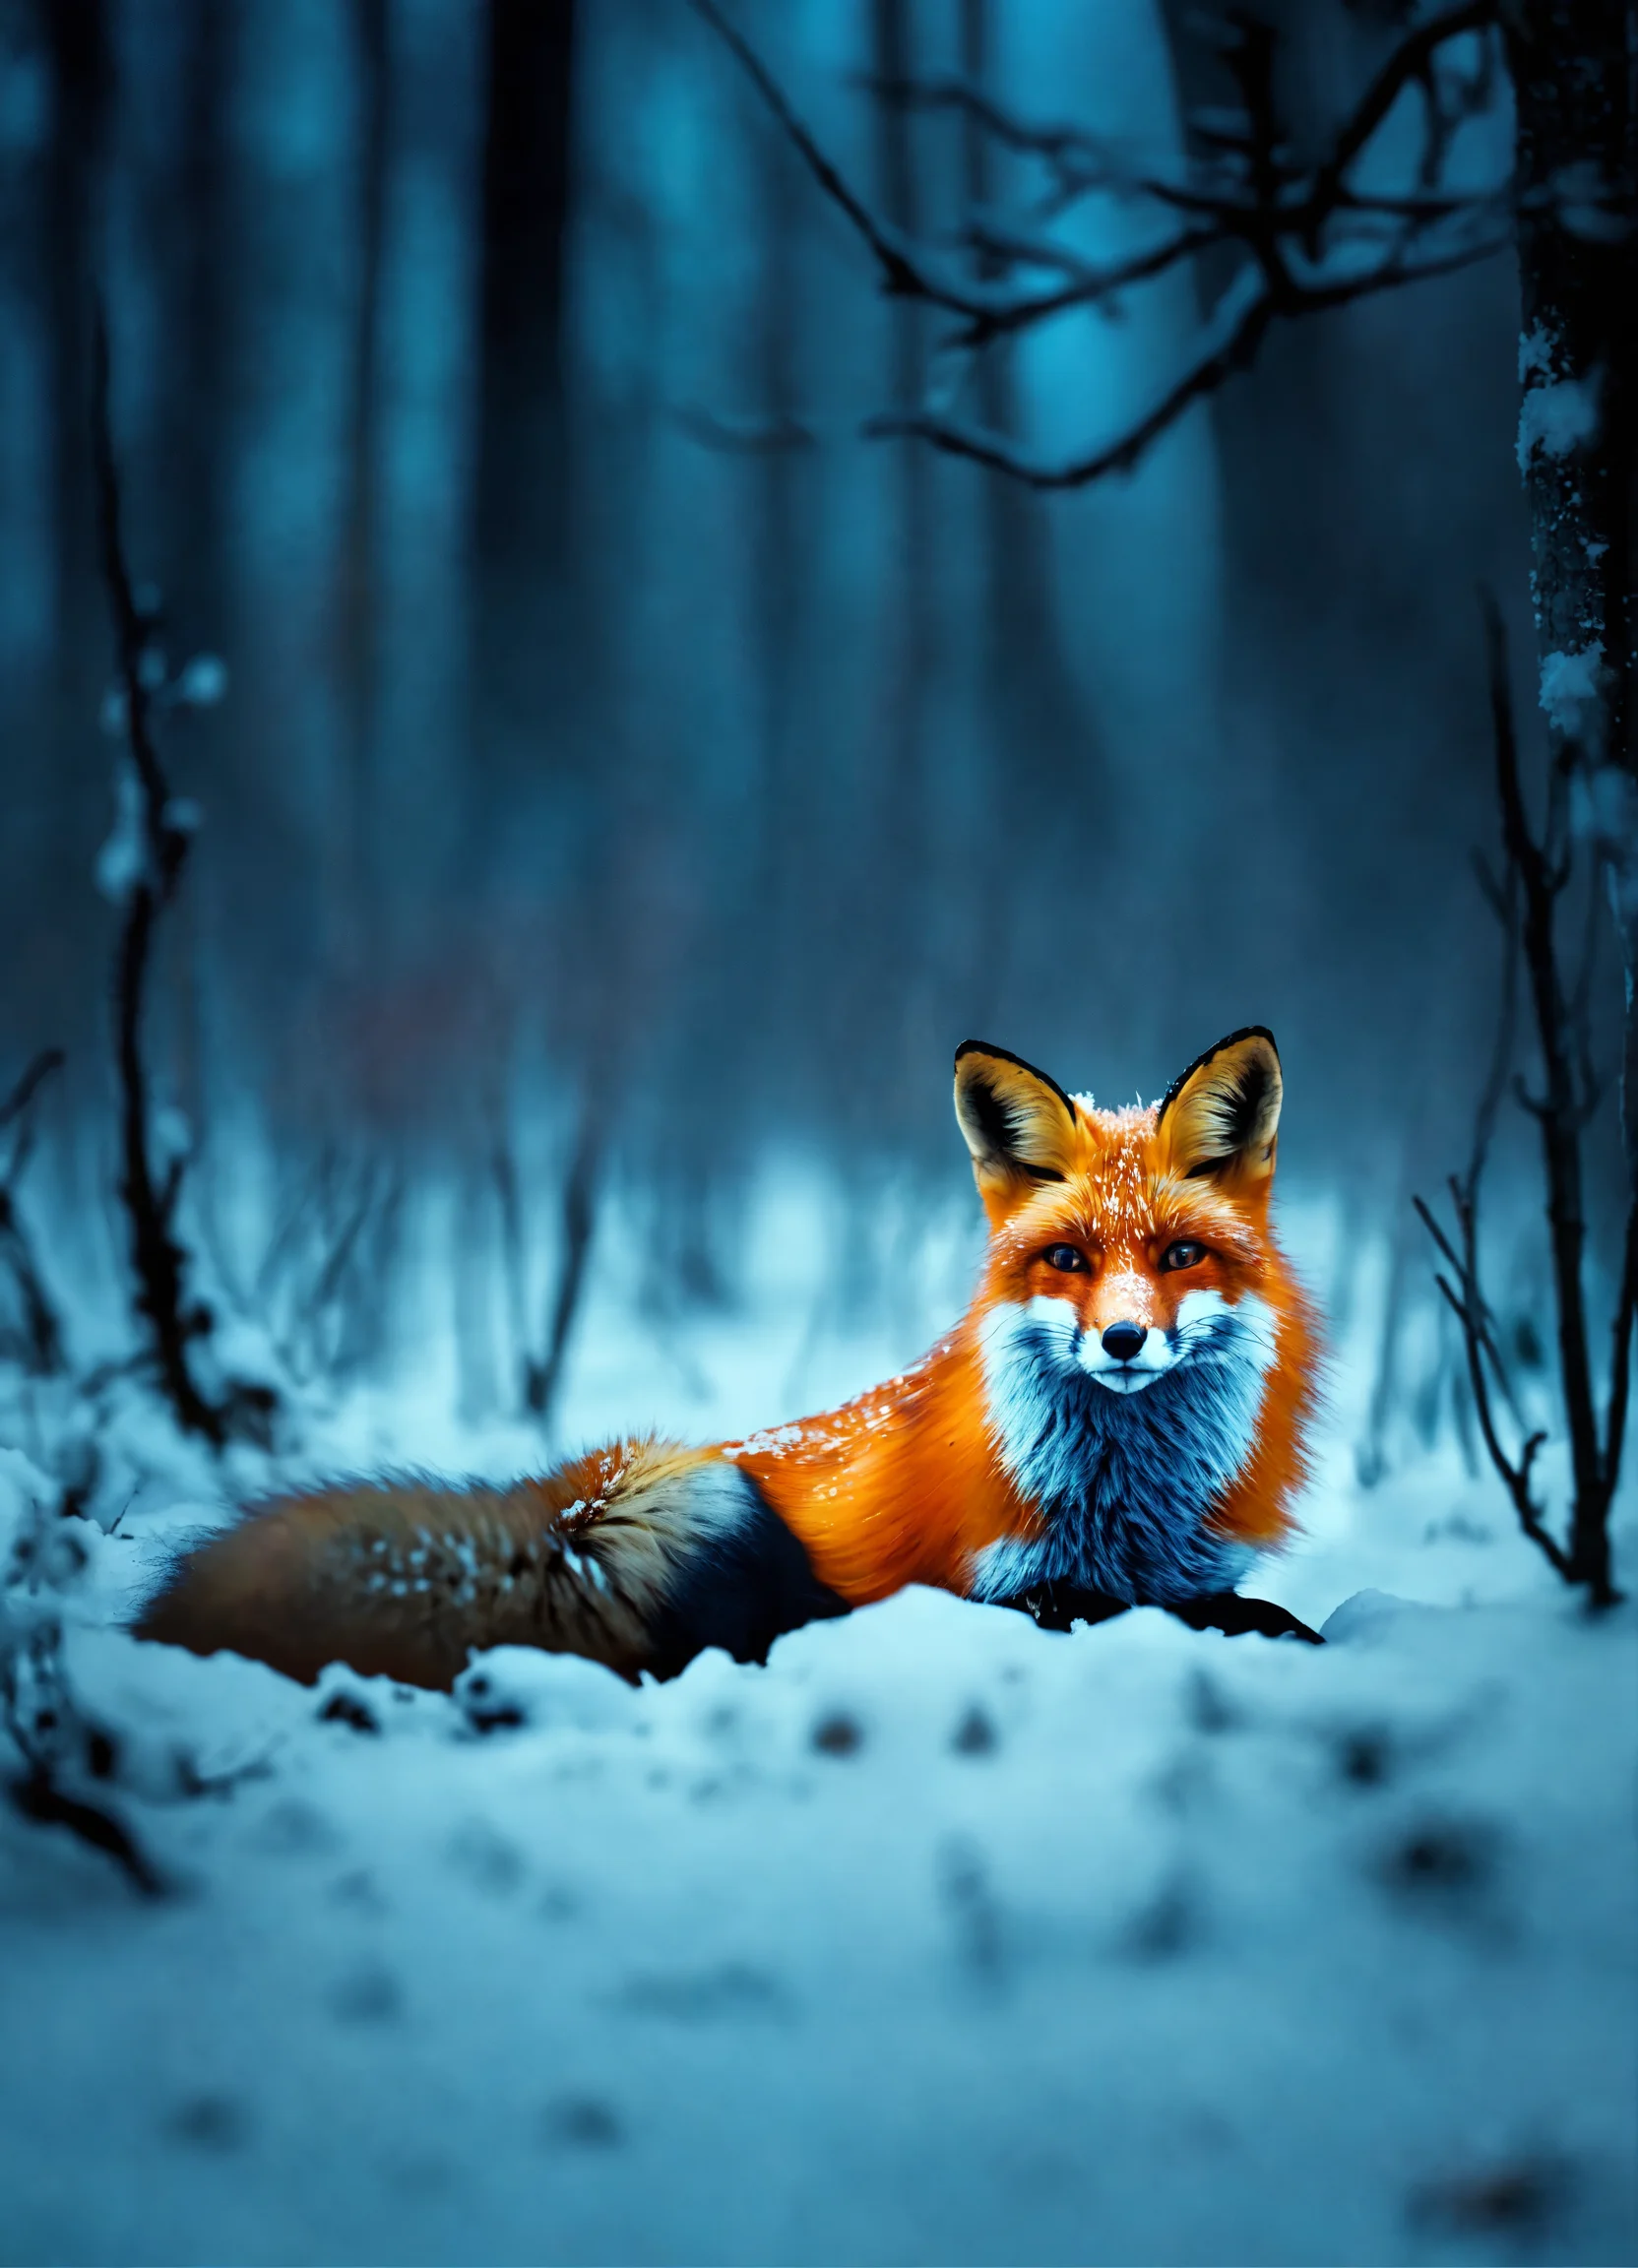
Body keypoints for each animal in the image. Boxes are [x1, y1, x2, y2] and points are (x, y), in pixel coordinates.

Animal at [138, 1026, 1323, 1688]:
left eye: (1177, 1255)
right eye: (1069, 1258)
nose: (1123, 1339)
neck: (1124, 1504)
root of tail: (554, 1513)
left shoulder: (1184, 1570)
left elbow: (1251, 1608)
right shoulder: (993, 1590)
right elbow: (1152, 1614)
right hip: (702, 1507)